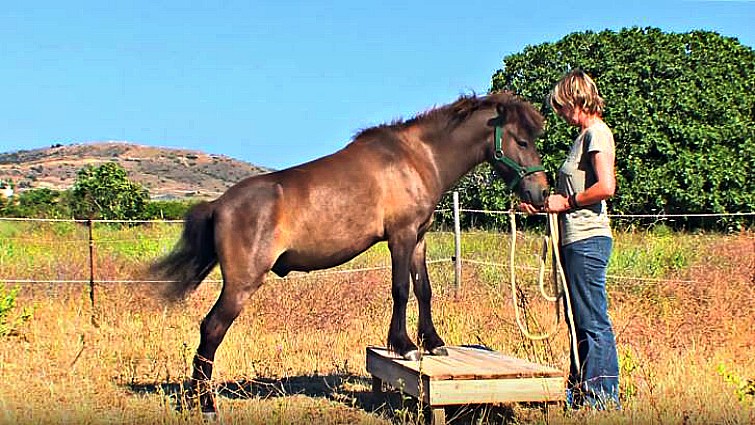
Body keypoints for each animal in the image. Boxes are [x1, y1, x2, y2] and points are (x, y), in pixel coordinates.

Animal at [149, 91, 549, 414]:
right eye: (522, 140)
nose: (542, 193)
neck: (417, 158)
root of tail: (219, 205)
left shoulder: (419, 238)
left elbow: (424, 290)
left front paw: (433, 343)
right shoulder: (401, 237)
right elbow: (401, 290)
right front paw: (403, 345)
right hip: (241, 284)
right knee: (211, 329)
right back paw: (206, 405)